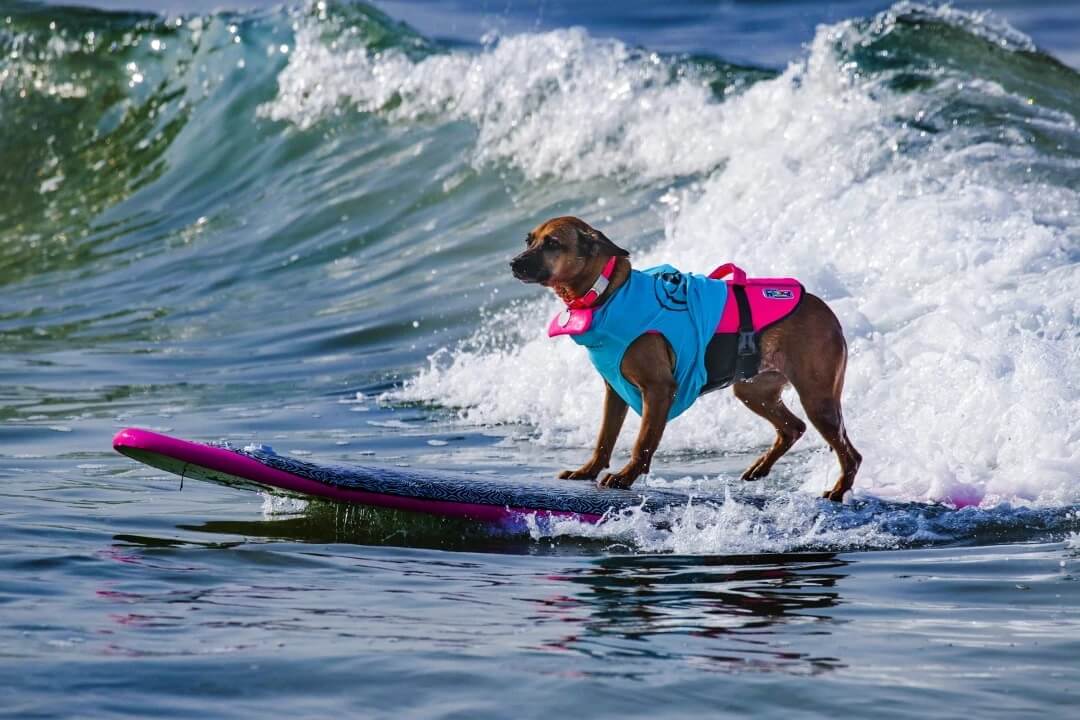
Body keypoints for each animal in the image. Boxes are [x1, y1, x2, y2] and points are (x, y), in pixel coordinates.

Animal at [509, 216, 864, 505]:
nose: (513, 263)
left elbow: (643, 441)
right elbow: (604, 438)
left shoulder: (658, 389)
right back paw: (760, 468)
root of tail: (827, 312)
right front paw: (587, 471)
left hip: (817, 399)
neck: (608, 293)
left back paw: (837, 490)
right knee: (793, 428)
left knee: (851, 454)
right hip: (754, 391)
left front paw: (625, 477)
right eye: (529, 240)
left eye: (552, 243)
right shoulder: (614, 391)